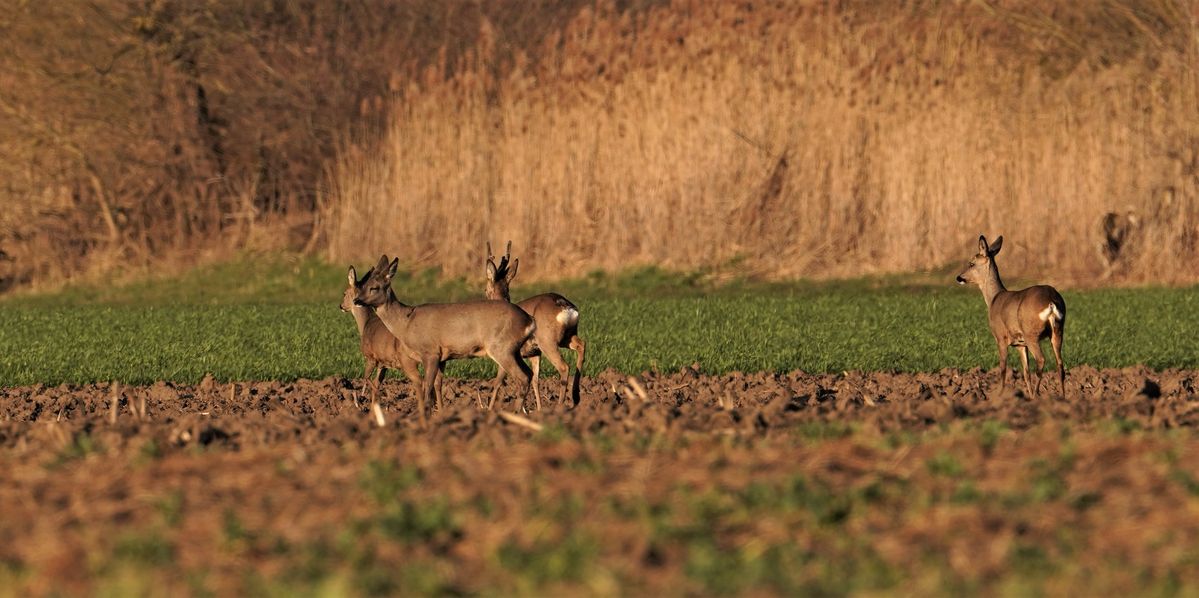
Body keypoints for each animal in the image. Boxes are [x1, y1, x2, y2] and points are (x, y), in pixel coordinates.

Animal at [338, 266, 426, 412]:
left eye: (344, 293)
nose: (341, 306)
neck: (366, 324)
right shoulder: (383, 364)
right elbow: (376, 382)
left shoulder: (370, 357)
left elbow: (367, 379)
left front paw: (361, 402)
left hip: (407, 360)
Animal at [350, 254, 532, 426]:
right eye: (363, 285)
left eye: (374, 287)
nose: (356, 300)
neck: (406, 322)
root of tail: (529, 320)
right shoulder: (443, 356)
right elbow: (435, 386)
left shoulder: (430, 352)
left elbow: (427, 389)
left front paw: (425, 421)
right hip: (514, 350)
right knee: (529, 374)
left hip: (501, 347)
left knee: (522, 377)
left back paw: (514, 417)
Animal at [481, 242, 585, 407]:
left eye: (486, 289)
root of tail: (564, 305)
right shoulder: (534, 353)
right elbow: (535, 380)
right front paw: (537, 409)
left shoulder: (505, 351)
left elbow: (497, 382)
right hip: (567, 336)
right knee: (582, 345)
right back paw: (575, 396)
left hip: (547, 340)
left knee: (564, 367)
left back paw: (561, 405)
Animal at [954, 236, 1069, 400]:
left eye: (971, 263)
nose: (959, 277)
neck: (994, 299)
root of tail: (1051, 301)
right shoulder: (1020, 344)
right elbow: (1025, 372)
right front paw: (1027, 396)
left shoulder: (1000, 337)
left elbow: (1002, 368)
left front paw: (1000, 395)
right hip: (1058, 330)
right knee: (1060, 365)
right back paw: (1063, 398)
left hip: (1031, 333)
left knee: (1041, 360)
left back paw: (1038, 394)